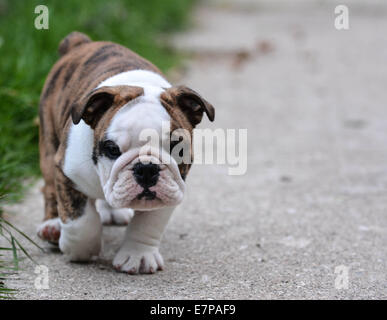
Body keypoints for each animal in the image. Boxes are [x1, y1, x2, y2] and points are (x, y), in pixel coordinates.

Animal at [37, 31, 214, 274]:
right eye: (112, 149)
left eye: (176, 147)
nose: (146, 169)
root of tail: (80, 43)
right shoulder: (67, 174)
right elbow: (80, 221)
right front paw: (77, 248)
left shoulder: (171, 187)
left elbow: (148, 224)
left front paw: (138, 256)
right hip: (48, 145)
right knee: (49, 189)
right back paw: (52, 225)